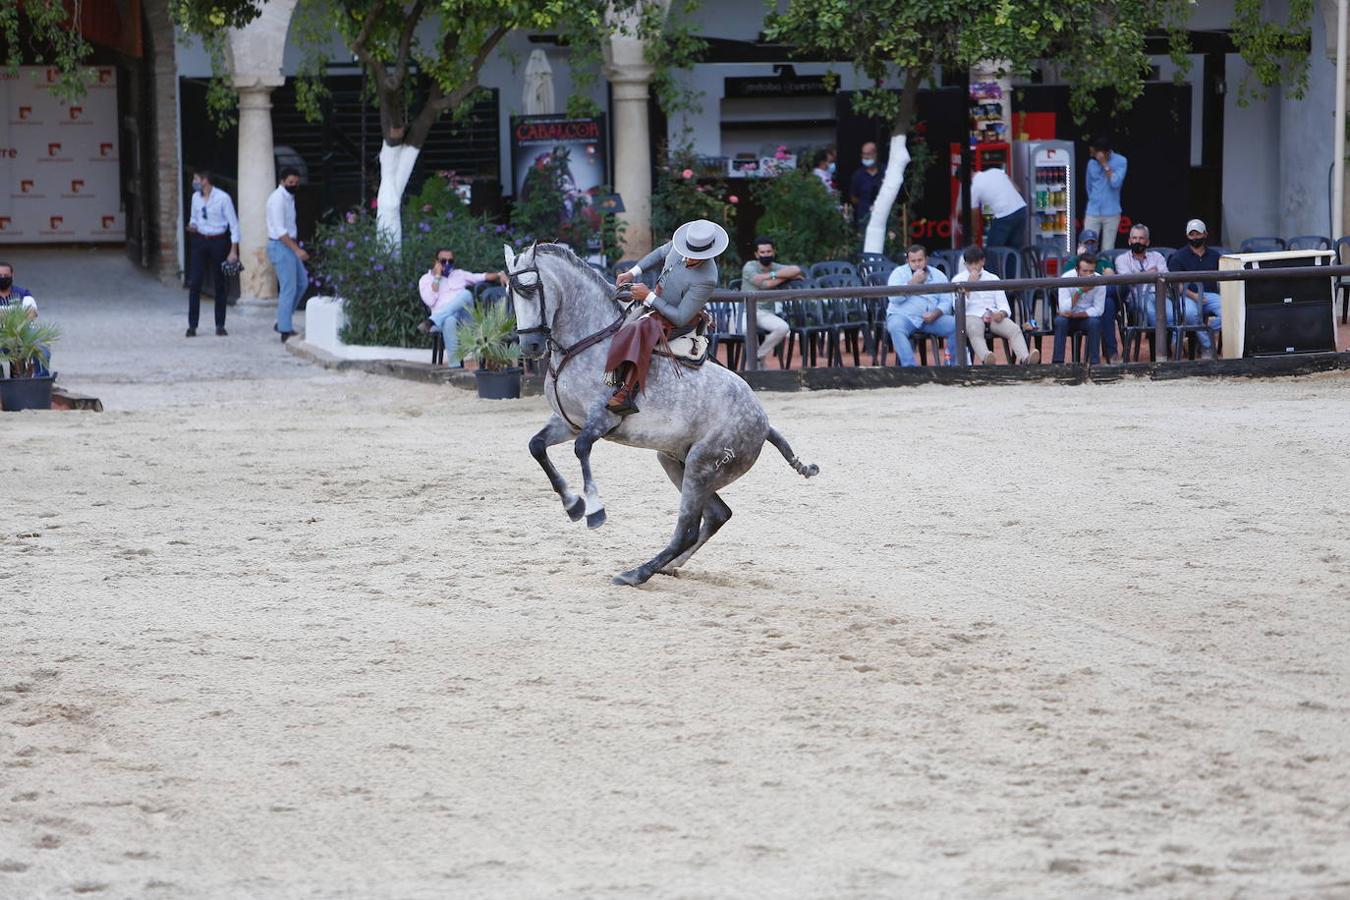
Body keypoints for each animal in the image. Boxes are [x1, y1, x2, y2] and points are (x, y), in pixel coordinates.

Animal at [507, 242, 815, 588]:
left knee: (686, 529)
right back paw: (667, 566)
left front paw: (594, 510)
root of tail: (764, 423)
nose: (531, 345)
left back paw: (636, 573)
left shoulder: (600, 421)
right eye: (512, 291)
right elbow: (536, 446)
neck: (584, 343)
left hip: (701, 468)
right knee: (716, 516)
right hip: (676, 462)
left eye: (531, 288)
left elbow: (581, 449)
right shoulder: (568, 421)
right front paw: (573, 505)